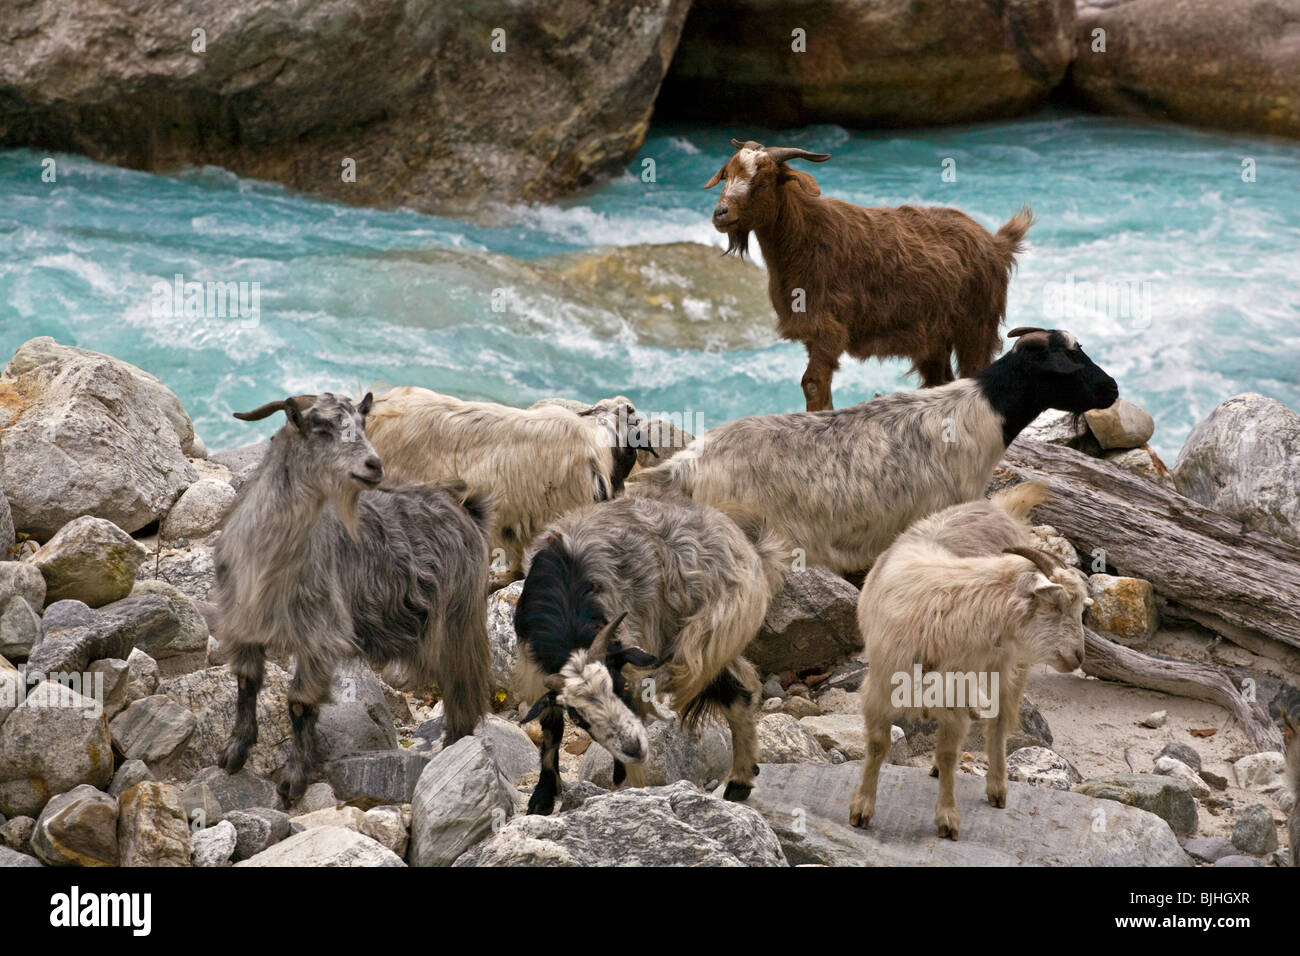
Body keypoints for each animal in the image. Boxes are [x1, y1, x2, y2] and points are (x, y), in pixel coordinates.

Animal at [707, 139, 1029, 411]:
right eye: (726, 176)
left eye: (762, 182)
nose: (721, 213)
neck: (805, 237)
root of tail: (996, 243)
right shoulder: (811, 331)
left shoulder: (829, 328)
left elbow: (812, 384)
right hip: (934, 336)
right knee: (940, 379)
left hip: (976, 324)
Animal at [847, 486, 1092, 837]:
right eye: (1057, 605)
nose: (1077, 656)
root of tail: (1002, 507)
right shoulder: (880, 687)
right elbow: (878, 745)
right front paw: (861, 809)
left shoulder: (955, 694)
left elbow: (951, 753)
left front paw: (947, 817)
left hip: (1012, 667)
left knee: (999, 723)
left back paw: (997, 788)